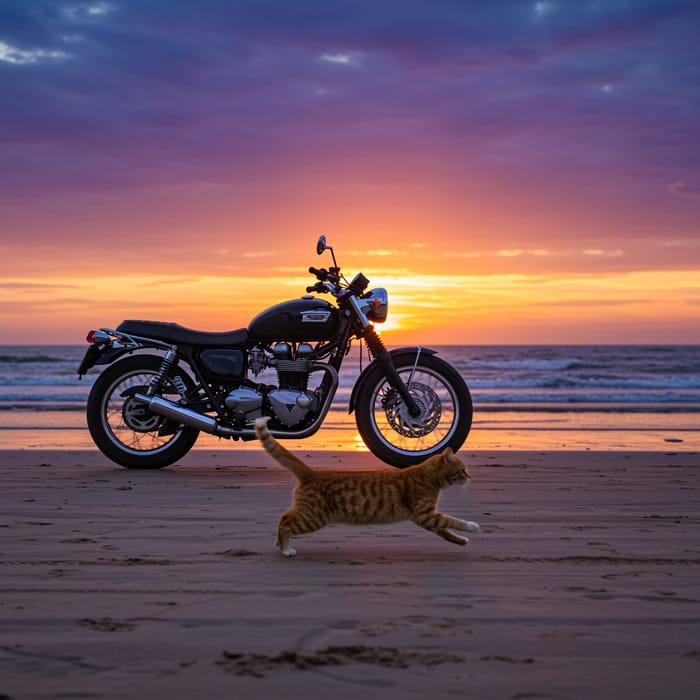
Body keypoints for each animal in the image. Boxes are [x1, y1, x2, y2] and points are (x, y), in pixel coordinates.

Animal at [254, 416, 478, 556]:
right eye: (462, 470)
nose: (470, 477)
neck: (426, 477)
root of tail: (312, 473)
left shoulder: (427, 519)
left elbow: (446, 531)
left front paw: (461, 540)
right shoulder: (426, 514)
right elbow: (452, 521)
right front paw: (472, 526)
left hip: (308, 514)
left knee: (284, 518)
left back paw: (279, 543)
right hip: (313, 517)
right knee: (285, 523)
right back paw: (285, 549)